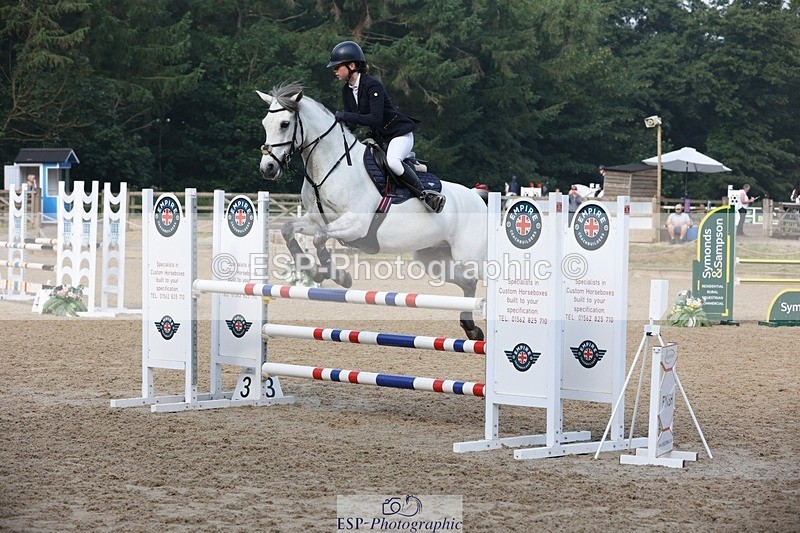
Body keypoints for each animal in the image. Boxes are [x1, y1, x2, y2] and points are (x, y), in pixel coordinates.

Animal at [257, 82, 487, 340]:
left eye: (285, 124)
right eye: (265, 123)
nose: (267, 168)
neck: (330, 166)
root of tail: (476, 197)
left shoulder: (356, 225)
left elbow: (319, 238)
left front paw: (338, 276)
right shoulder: (316, 220)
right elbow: (289, 229)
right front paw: (314, 271)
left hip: (468, 256)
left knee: (479, 278)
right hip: (432, 258)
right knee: (467, 282)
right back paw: (471, 328)